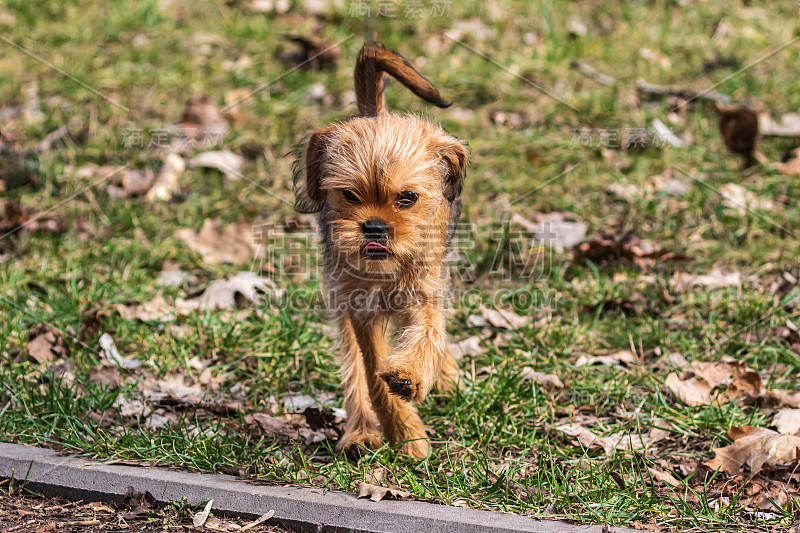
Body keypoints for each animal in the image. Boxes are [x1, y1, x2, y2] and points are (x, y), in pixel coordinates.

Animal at [294, 42, 468, 458]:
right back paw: (360, 433)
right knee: (355, 371)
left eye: (407, 198)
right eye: (349, 194)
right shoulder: (359, 311)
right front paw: (405, 433)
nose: (373, 227)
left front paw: (409, 376)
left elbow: (429, 335)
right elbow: (372, 372)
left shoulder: (425, 294)